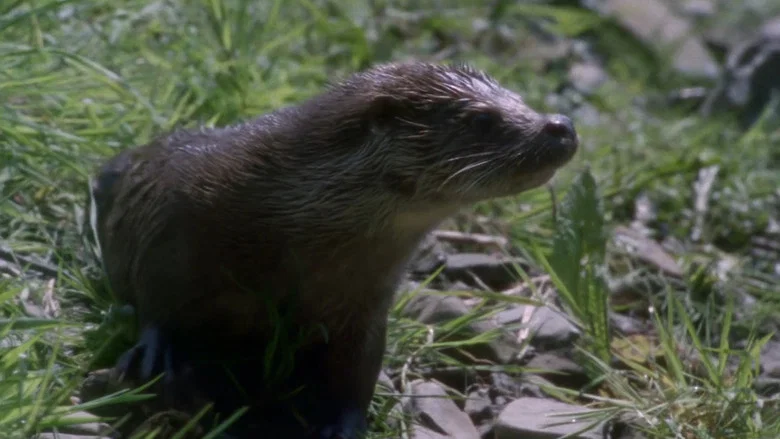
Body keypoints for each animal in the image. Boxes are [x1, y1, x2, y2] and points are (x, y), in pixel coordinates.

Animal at [90, 61, 578, 438]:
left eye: (520, 98)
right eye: (481, 119)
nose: (561, 125)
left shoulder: (366, 304)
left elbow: (359, 370)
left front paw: (344, 425)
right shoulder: (175, 228)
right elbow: (155, 299)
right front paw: (155, 351)